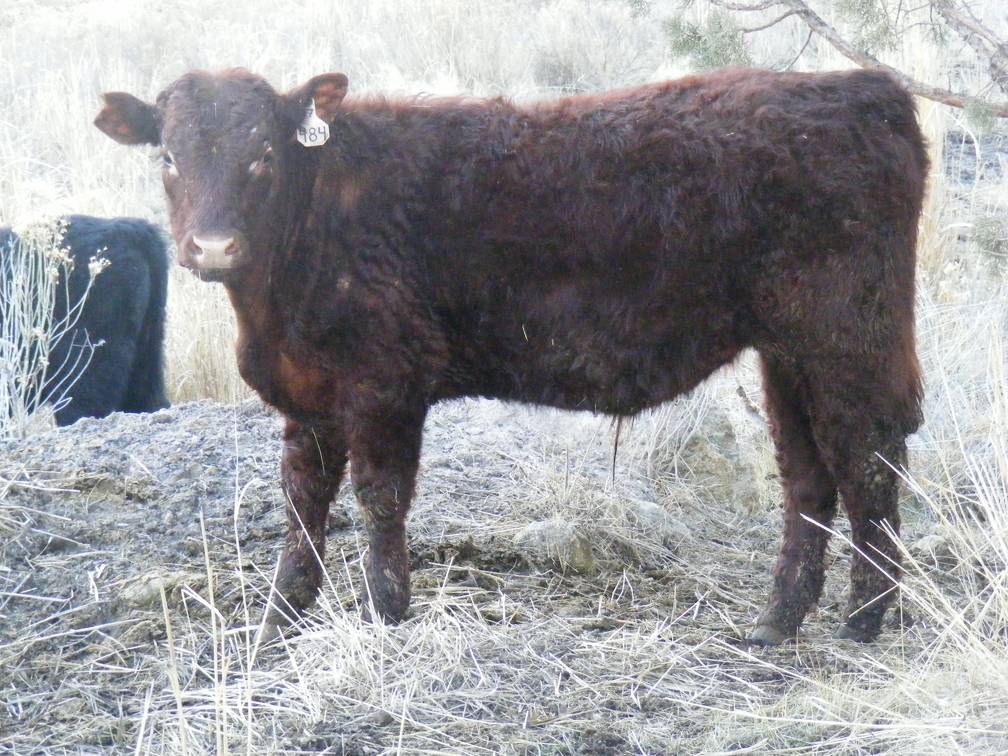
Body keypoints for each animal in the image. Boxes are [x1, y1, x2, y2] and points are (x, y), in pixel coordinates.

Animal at [96, 66, 927, 645]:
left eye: (264, 154)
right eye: (167, 157)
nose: (212, 247)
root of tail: (862, 89)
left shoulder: (386, 383)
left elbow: (379, 501)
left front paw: (385, 617)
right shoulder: (311, 398)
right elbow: (303, 505)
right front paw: (279, 623)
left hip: (846, 336)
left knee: (869, 461)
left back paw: (864, 621)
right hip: (788, 353)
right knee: (808, 477)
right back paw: (778, 621)